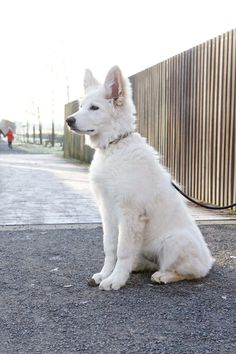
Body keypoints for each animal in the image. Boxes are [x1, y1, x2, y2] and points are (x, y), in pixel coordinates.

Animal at [66, 65, 214, 290]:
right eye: (81, 106)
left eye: (94, 108)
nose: (68, 120)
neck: (114, 147)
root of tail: (209, 260)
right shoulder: (107, 210)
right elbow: (110, 247)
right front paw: (105, 274)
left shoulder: (130, 213)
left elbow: (123, 250)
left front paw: (115, 280)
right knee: (149, 262)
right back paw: (137, 267)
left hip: (175, 241)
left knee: (192, 273)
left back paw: (164, 275)